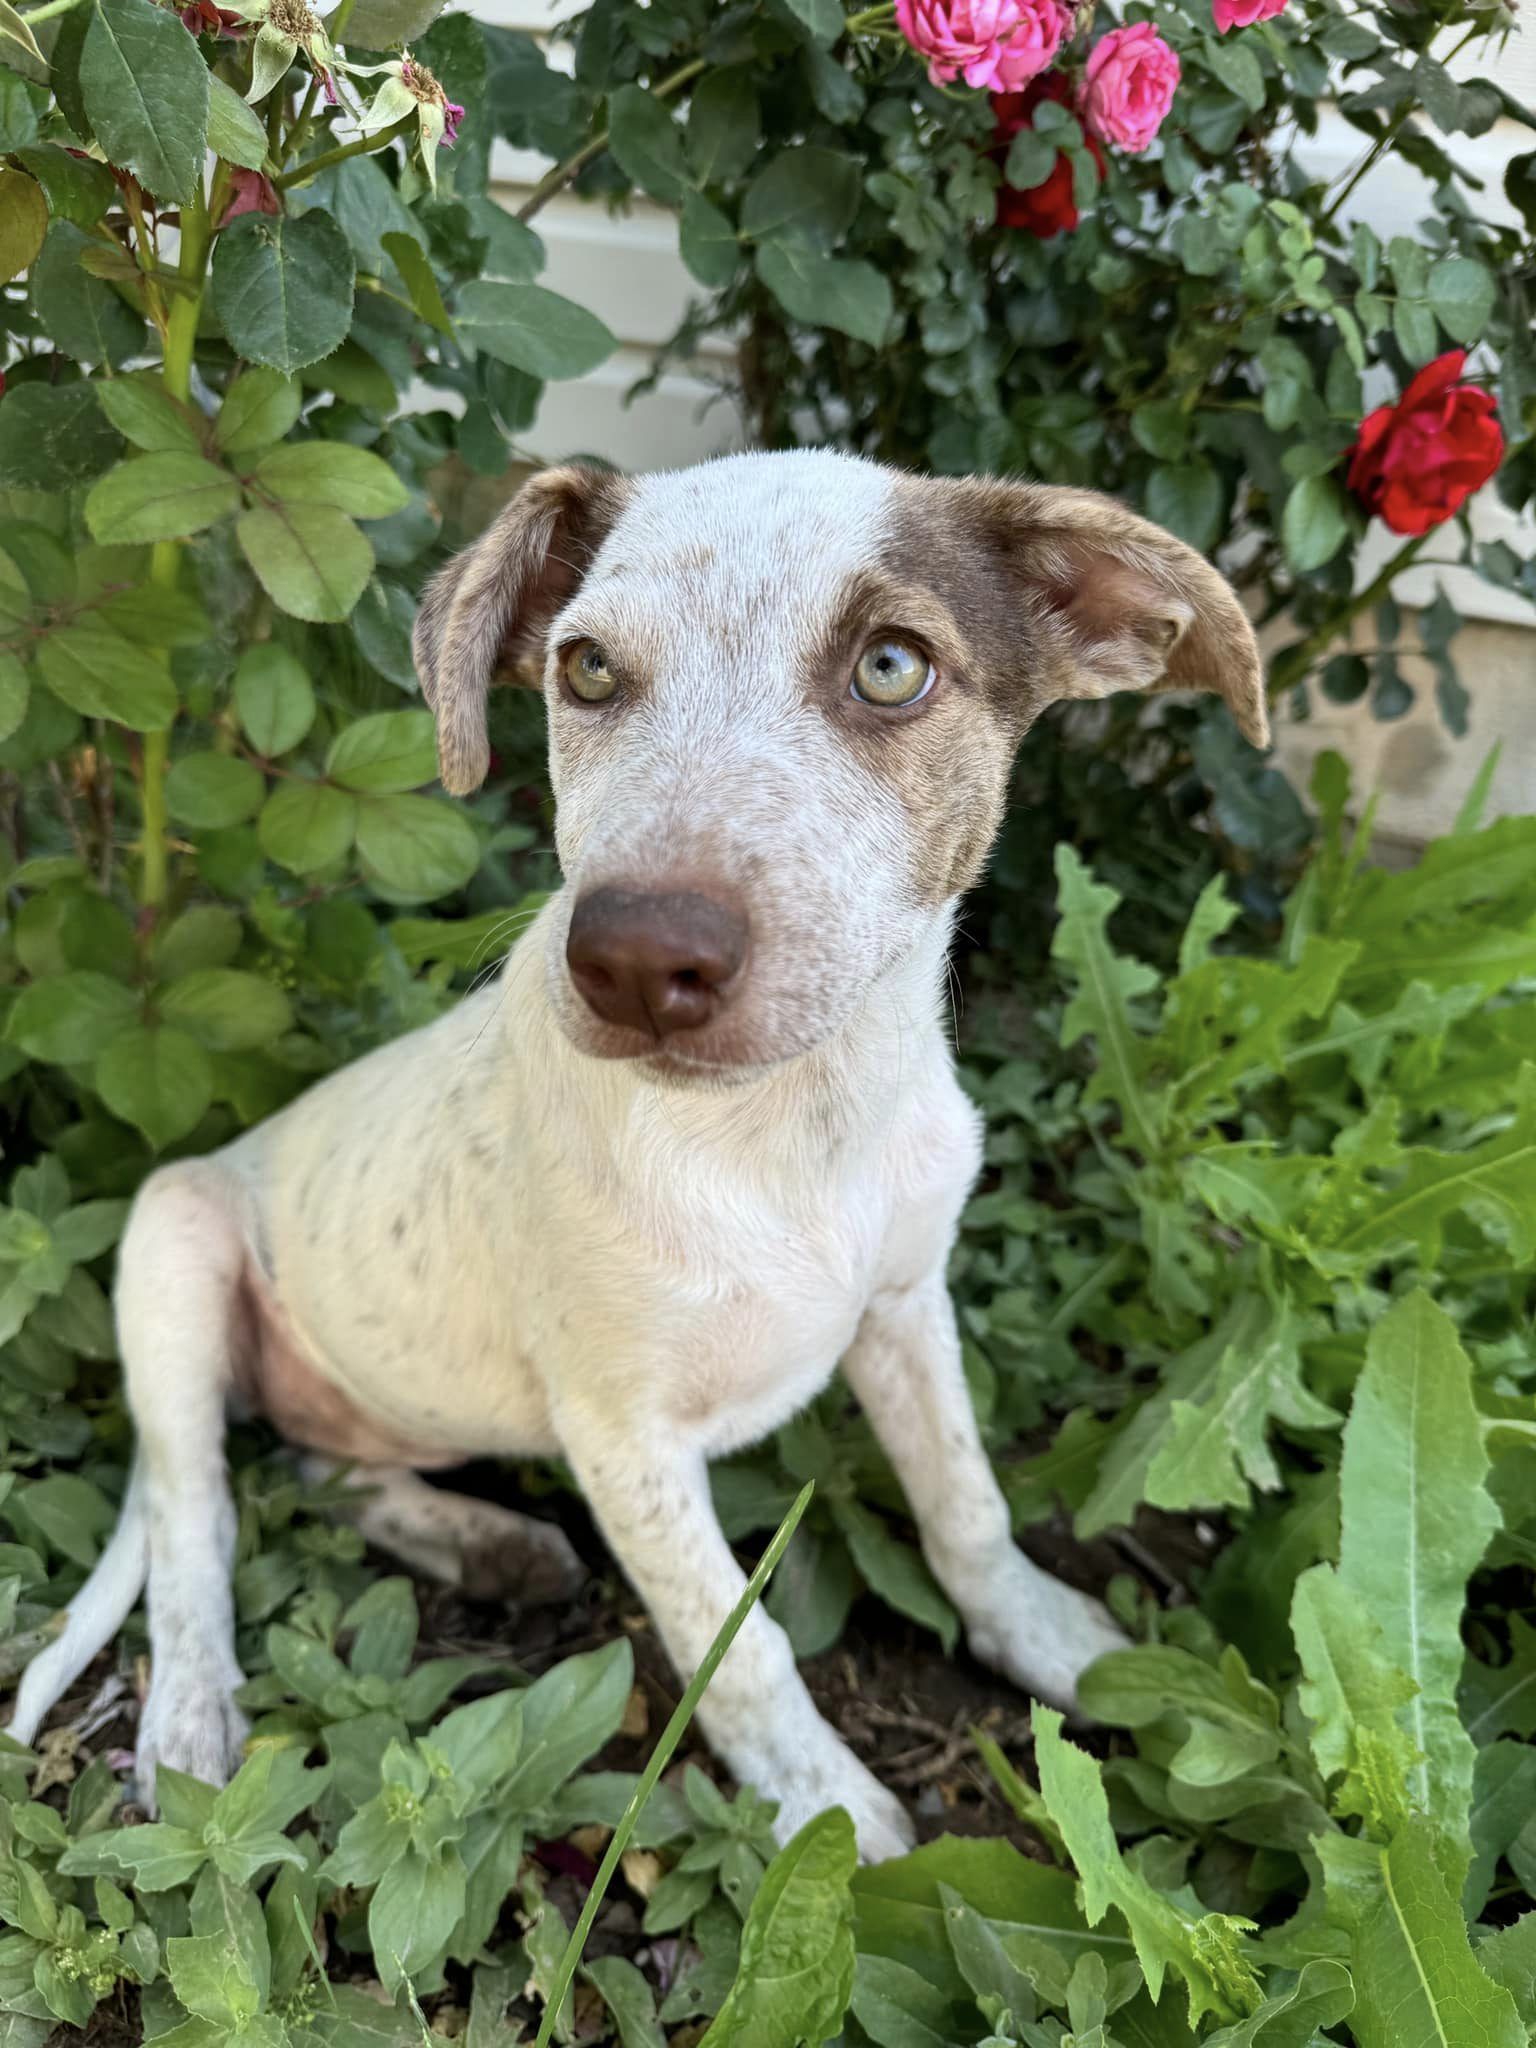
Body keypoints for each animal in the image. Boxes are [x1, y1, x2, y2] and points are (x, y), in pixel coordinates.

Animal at [9, 456, 1261, 1867]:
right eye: (589, 670)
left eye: (893, 666)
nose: (632, 959)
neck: (797, 1126)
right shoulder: (624, 1435)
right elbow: (740, 1641)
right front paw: (829, 1815)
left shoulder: (904, 1301)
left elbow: (967, 1501)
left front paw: (1050, 1638)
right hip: (172, 1238)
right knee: (196, 1514)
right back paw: (188, 1717)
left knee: (323, 1465)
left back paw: (481, 1540)